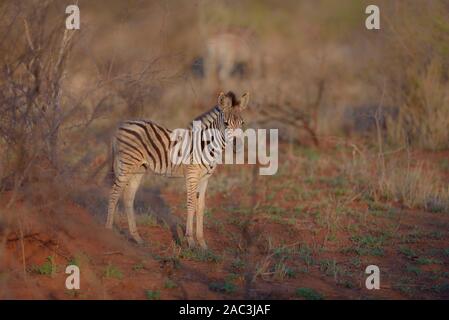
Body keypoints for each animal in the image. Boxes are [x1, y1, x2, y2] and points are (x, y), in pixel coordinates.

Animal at [107, 91, 250, 249]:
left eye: (242, 123)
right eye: (226, 123)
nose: (238, 145)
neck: (208, 146)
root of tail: (123, 124)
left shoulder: (205, 178)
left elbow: (201, 207)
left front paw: (202, 244)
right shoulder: (192, 175)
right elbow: (191, 203)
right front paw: (190, 241)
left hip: (138, 169)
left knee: (128, 196)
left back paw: (137, 238)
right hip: (126, 164)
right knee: (114, 193)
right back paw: (108, 230)